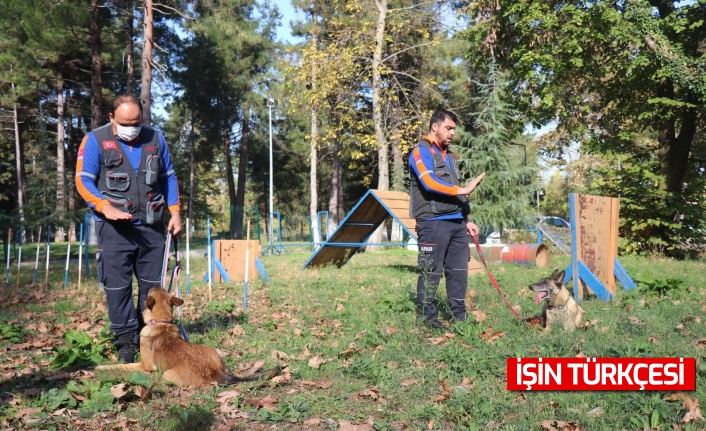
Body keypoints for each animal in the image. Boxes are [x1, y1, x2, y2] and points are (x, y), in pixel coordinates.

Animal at [97, 288, 278, 386]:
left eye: (149, 293)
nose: (152, 284)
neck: (161, 322)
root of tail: (213, 372)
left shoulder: (143, 366)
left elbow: (121, 366)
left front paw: (100, 367)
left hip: (166, 374)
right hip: (210, 350)